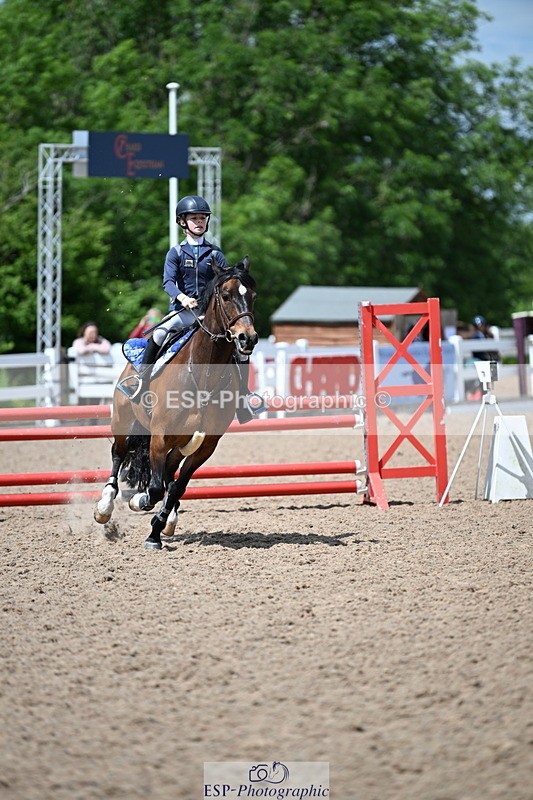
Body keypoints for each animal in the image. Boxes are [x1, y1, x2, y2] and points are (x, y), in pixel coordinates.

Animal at [93, 256, 258, 550]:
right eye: (226, 296)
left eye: (253, 296)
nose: (247, 338)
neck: (203, 375)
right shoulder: (159, 437)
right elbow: (156, 487)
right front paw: (141, 503)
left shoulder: (205, 446)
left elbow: (176, 486)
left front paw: (156, 528)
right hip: (123, 422)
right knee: (118, 454)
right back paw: (105, 506)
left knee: (169, 473)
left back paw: (168, 518)